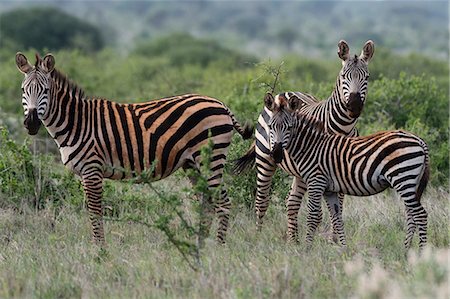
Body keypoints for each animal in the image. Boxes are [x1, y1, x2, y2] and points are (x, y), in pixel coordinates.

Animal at [14, 52, 253, 246]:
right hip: (192, 164)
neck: (77, 122)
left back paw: (218, 248)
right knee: (207, 204)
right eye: (24, 91)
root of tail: (221, 104)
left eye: (45, 90)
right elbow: (92, 211)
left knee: (223, 203)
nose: (31, 123)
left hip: (210, 159)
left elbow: (95, 212)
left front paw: (99, 251)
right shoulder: (84, 173)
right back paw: (199, 245)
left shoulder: (92, 170)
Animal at [234, 40, 374, 241]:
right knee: (262, 200)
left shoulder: (342, 170)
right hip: (265, 160)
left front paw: (335, 240)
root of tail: (283, 94)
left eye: (367, 77)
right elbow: (321, 211)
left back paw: (294, 240)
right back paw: (259, 236)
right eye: (343, 76)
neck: (342, 128)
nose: (354, 106)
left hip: (299, 173)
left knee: (291, 201)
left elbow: (338, 207)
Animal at [266, 95, 430, 250]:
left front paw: (307, 249)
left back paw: (421, 252)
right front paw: (344, 249)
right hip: (411, 182)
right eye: (270, 126)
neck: (310, 147)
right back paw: (406, 249)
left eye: (289, 127)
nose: (276, 154)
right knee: (411, 215)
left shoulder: (316, 182)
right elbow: (337, 217)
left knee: (420, 215)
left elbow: (312, 215)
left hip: (403, 178)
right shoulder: (329, 190)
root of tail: (419, 140)